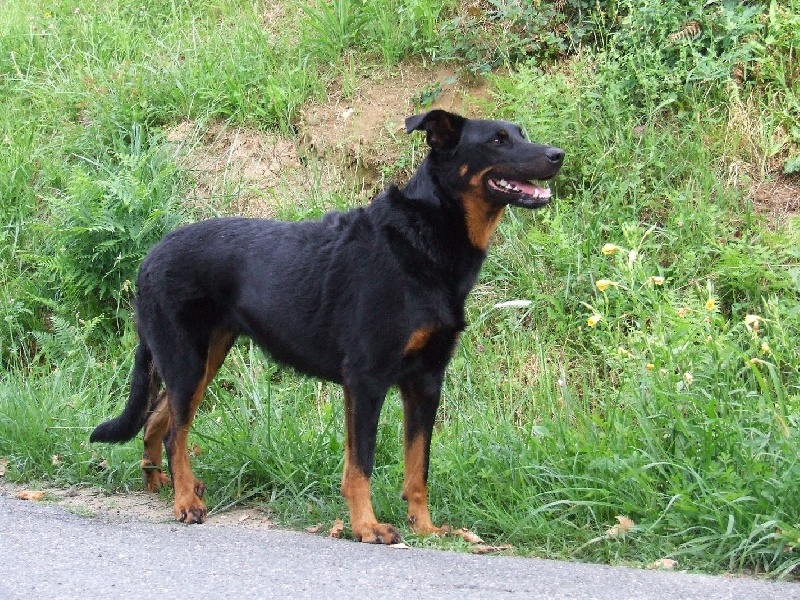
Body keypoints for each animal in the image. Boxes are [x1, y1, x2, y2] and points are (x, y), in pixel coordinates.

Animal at [90, 108, 564, 544]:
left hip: (205, 357)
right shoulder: (367, 380)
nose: (558, 155)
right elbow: (362, 464)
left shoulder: (426, 382)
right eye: (498, 141)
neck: (425, 237)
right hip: (187, 360)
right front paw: (367, 527)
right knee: (175, 433)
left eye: (521, 134)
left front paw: (425, 528)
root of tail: (149, 259)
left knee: (158, 420)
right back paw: (185, 501)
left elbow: (418, 468)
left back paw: (160, 484)